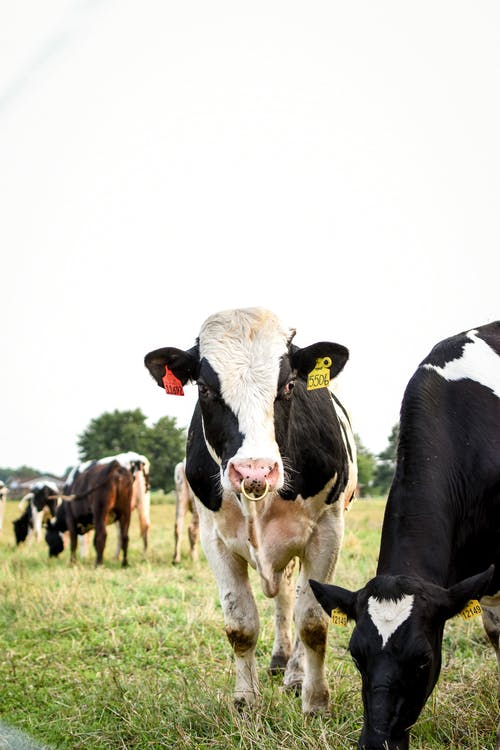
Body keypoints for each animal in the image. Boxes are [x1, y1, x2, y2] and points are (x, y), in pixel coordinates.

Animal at [143, 306, 358, 716]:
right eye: (205, 389)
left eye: (288, 386)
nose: (254, 471)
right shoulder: (214, 538)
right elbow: (240, 626)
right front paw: (245, 701)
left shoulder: (327, 530)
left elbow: (312, 622)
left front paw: (316, 702)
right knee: (285, 595)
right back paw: (281, 662)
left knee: (296, 601)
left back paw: (294, 674)